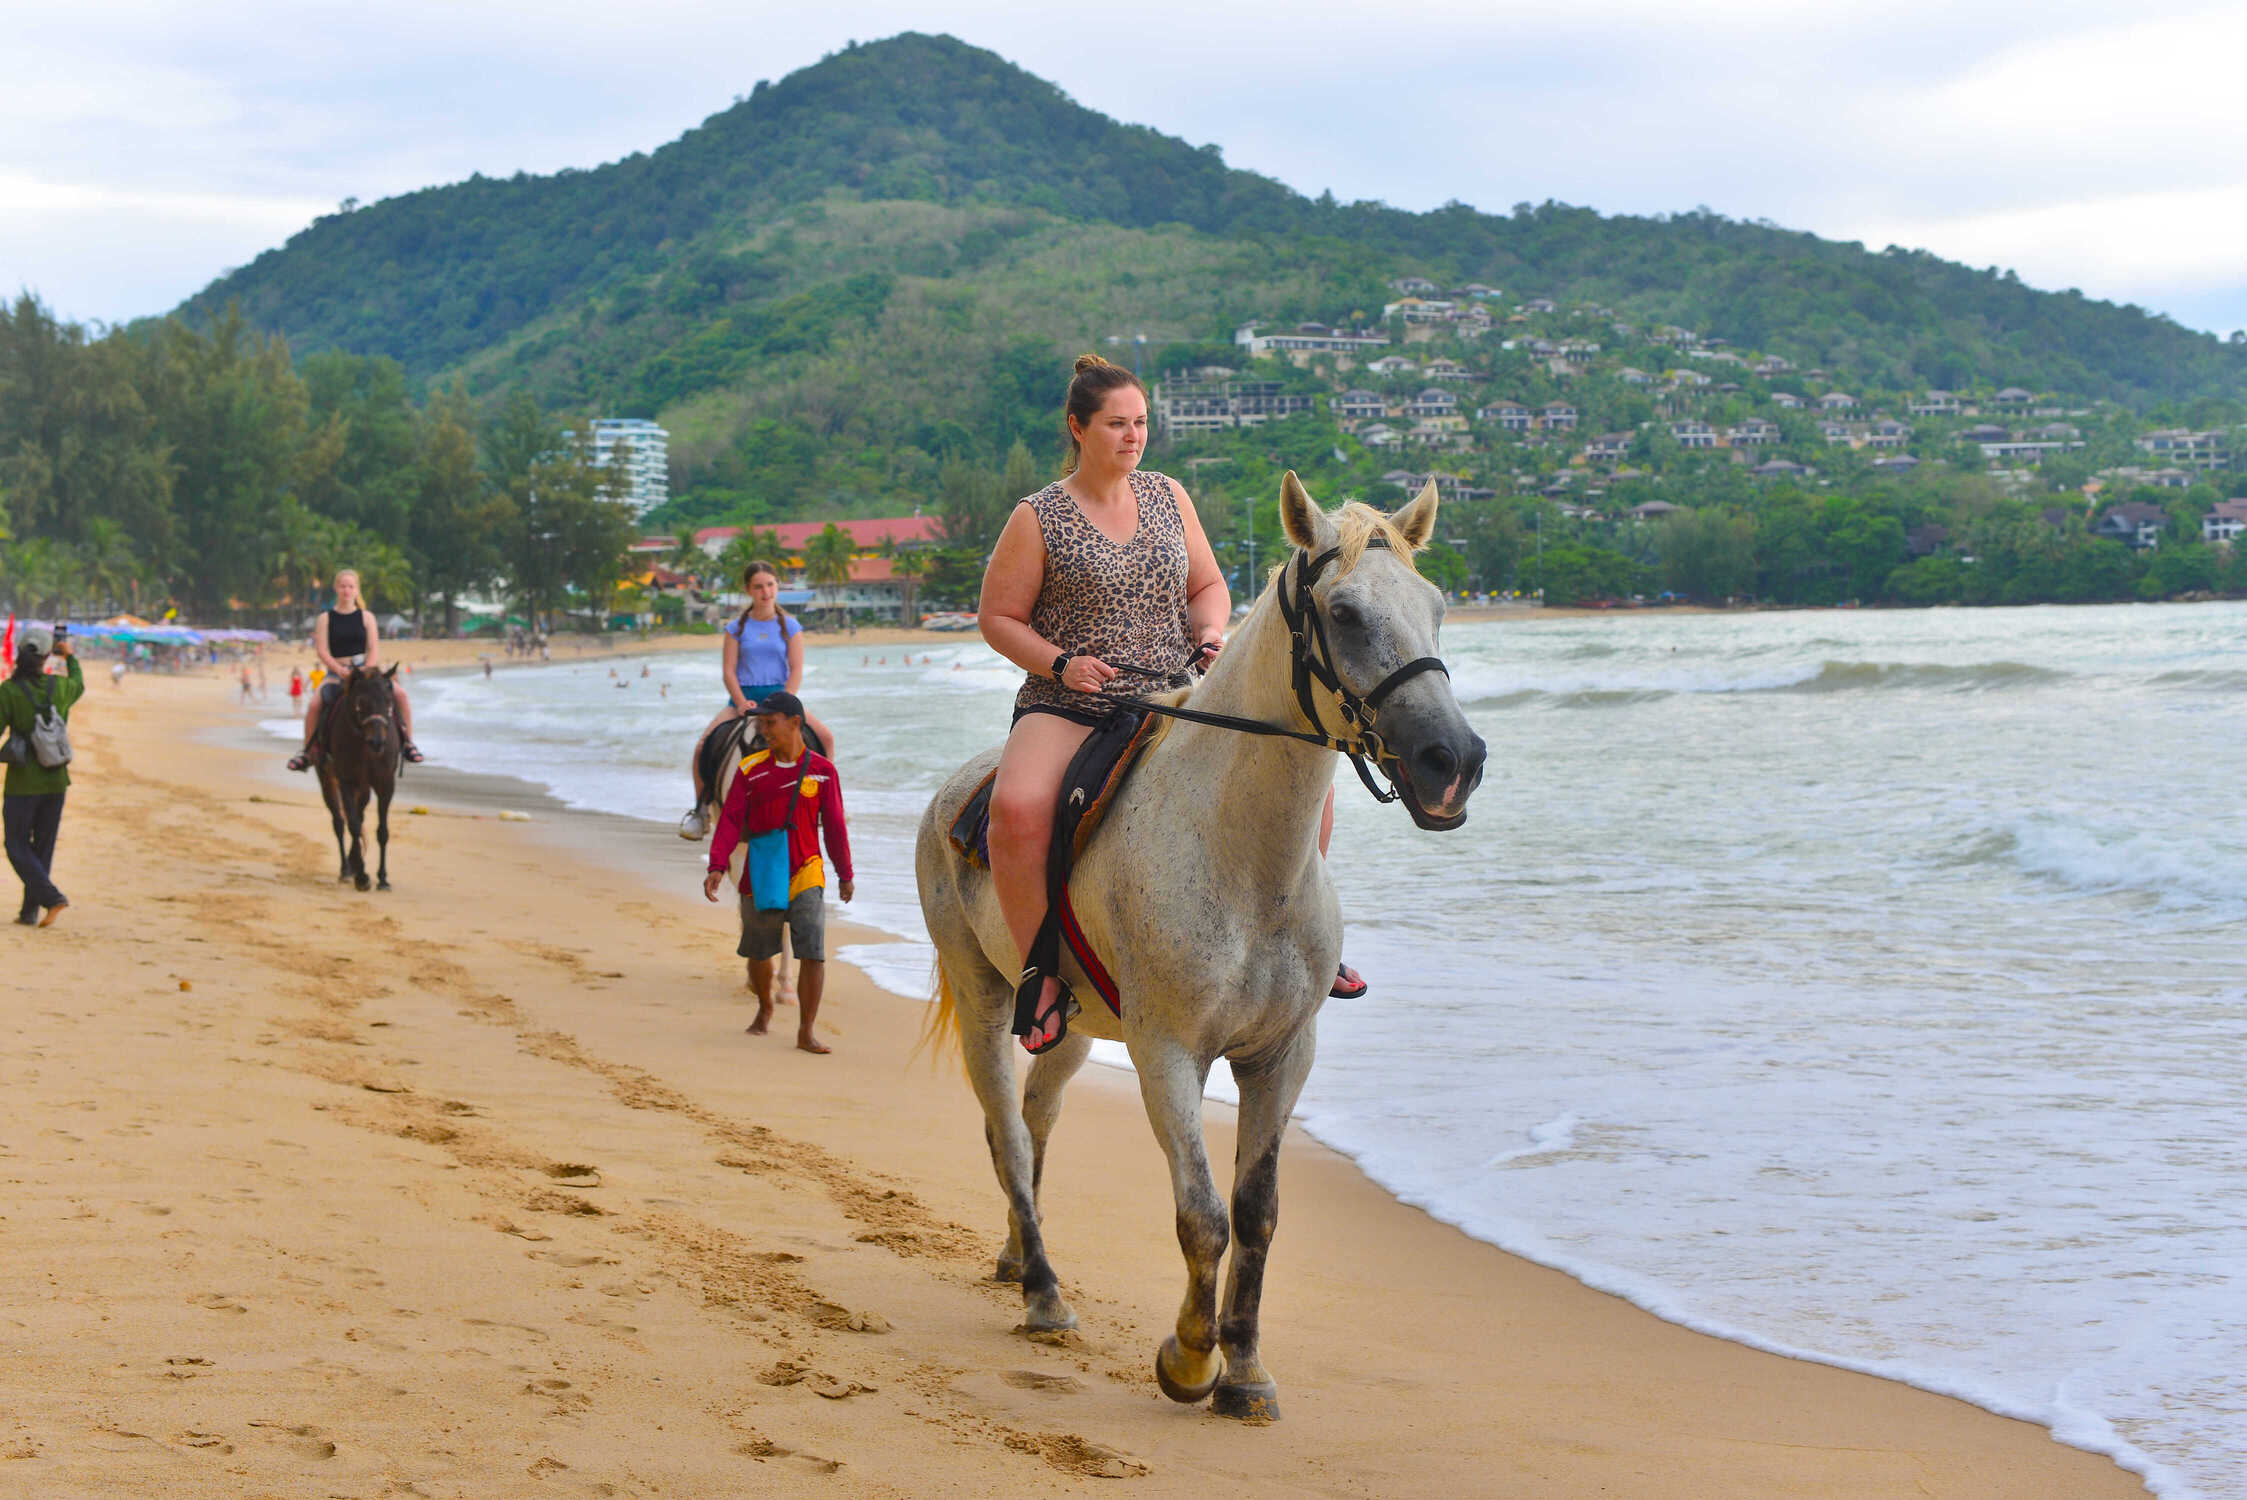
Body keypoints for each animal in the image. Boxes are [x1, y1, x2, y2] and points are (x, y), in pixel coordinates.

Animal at [314, 664, 402, 889]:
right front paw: (362, 876)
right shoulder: (346, 781)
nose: (377, 741)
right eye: (360, 703)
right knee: (339, 822)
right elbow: (352, 825)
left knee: (359, 815)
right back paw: (347, 869)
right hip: (329, 781)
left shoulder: (385, 784)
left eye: (389, 701)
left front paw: (382, 878)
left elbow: (382, 831)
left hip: (363, 788)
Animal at [916, 478, 1492, 1419]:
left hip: (1068, 1026)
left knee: (1036, 1121)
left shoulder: (1280, 1055)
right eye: (1344, 612)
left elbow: (1256, 1213)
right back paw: (1041, 1291)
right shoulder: (1168, 1054)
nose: (1454, 761)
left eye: (1437, 605)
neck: (1239, 855)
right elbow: (1203, 1216)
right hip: (982, 1001)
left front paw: (1246, 1371)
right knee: (1006, 1131)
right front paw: (1189, 1360)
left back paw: (1014, 1255)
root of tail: (954, 790)